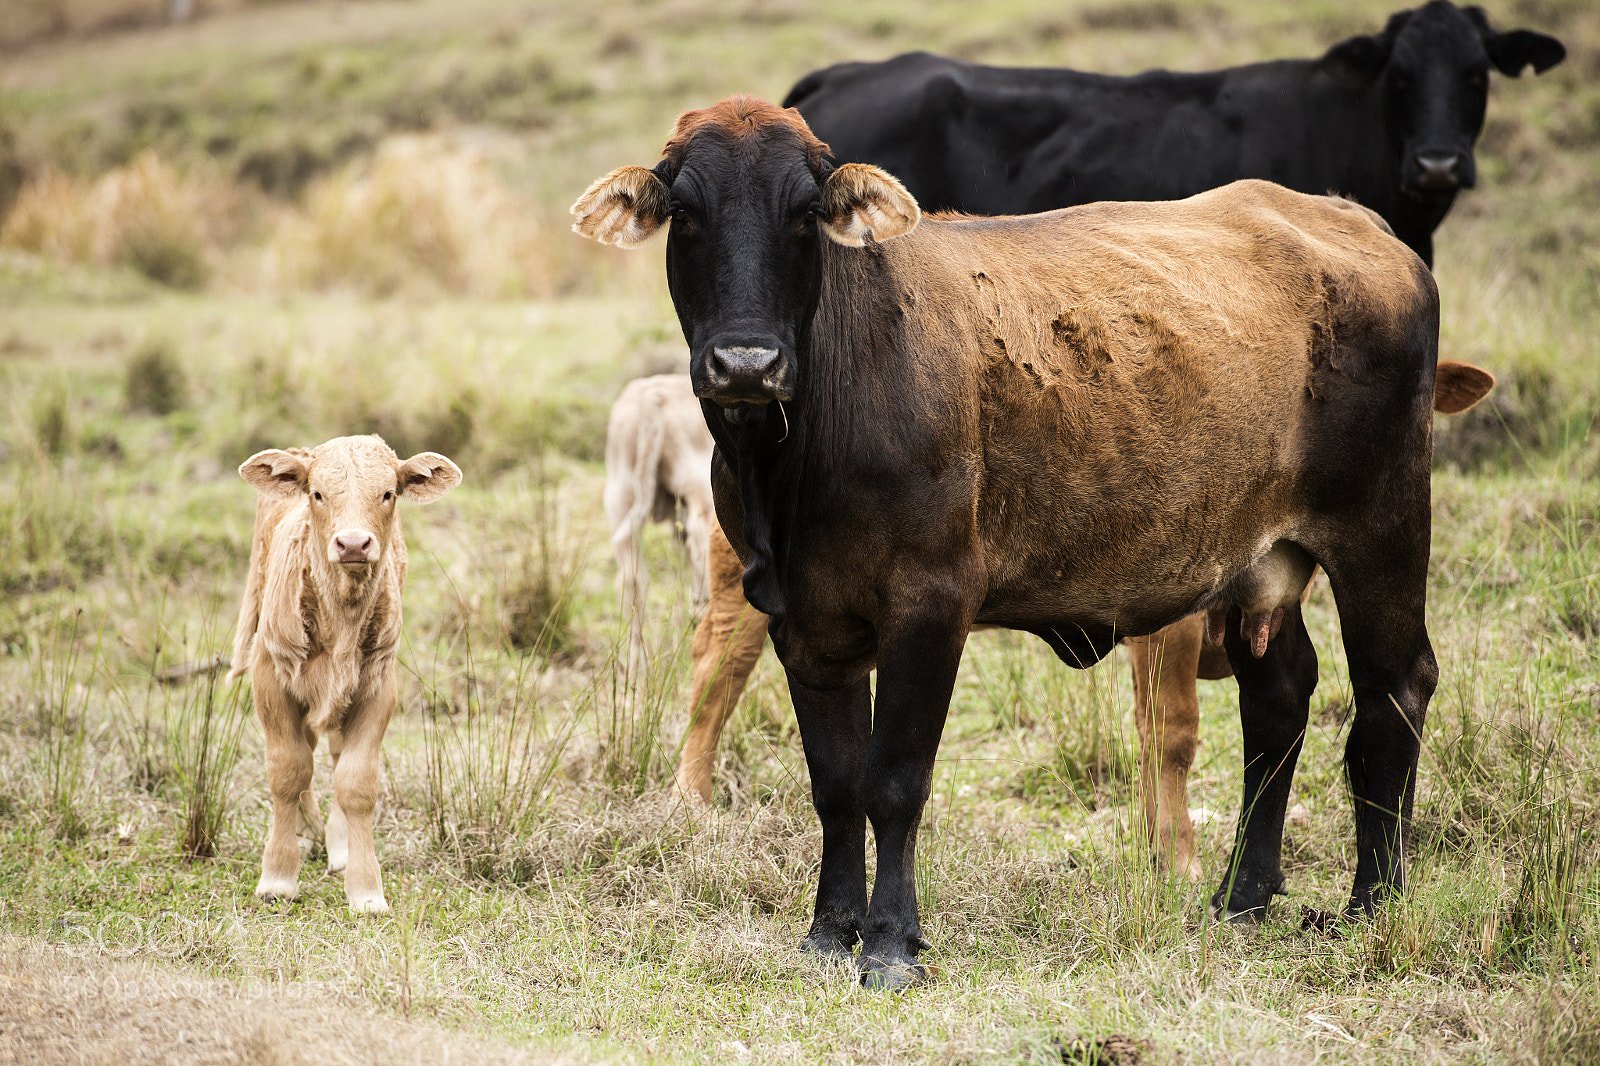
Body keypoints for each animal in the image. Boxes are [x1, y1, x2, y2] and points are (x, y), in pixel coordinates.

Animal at [230, 435, 461, 914]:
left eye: (388, 493)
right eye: (317, 494)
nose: (353, 544)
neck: (341, 619)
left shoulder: (377, 685)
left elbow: (356, 782)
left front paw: (366, 888)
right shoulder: (270, 676)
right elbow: (288, 770)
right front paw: (278, 876)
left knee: (334, 752)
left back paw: (337, 846)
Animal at [604, 374, 717, 685]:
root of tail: (652, 395)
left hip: (620, 499)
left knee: (633, 582)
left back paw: (636, 669)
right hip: (701, 490)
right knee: (701, 551)